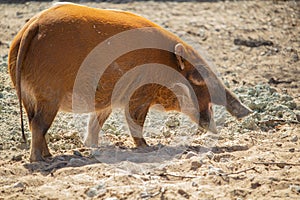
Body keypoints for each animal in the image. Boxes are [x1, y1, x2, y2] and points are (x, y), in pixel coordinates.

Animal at [8, 2, 251, 162]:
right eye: (199, 78)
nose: (247, 111)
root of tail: (32, 26)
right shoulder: (139, 94)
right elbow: (135, 121)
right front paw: (147, 148)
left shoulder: (108, 100)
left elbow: (96, 122)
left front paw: (94, 146)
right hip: (49, 95)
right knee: (38, 124)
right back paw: (41, 160)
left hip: (29, 96)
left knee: (33, 122)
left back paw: (48, 155)